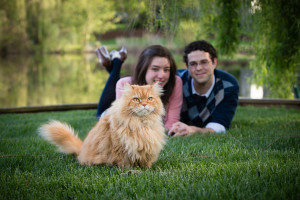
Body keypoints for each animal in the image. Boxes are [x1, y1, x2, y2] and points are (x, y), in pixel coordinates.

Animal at [37, 83, 166, 168]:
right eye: (136, 99)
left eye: (149, 98)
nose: (144, 104)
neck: (141, 124)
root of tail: (81, 150)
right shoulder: (121, 149)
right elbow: (125, 163)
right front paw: (130, 171)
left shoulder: (148, 148)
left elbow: (146, 163)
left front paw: (146, 169)